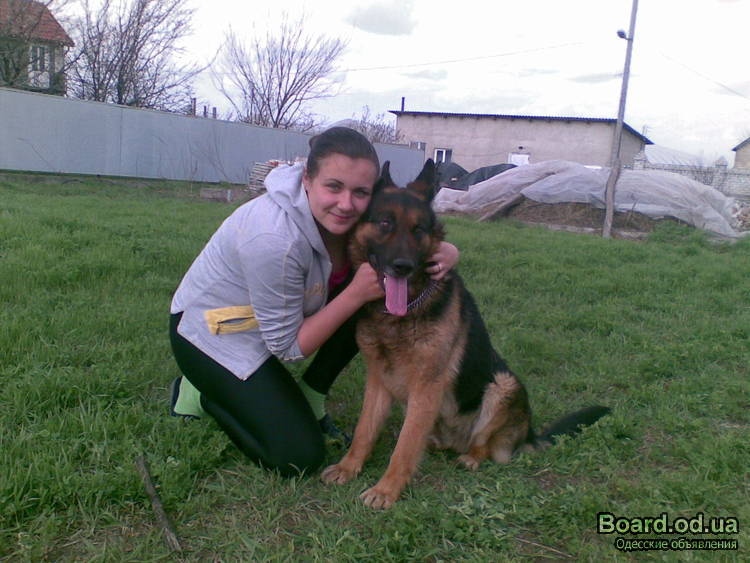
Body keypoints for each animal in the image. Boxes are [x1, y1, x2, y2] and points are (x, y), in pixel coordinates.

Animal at [321, 159, 610, 509]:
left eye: (418, 230)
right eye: (386, 222)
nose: (403, 266)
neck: (403, 311)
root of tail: (529, 432)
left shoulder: (426, 386)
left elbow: (403, 448)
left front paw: (386, 489)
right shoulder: (378, 381)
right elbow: (366, 430)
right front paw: (349, 467)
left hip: (502, 385)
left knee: (485, 446)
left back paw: (472, 457)